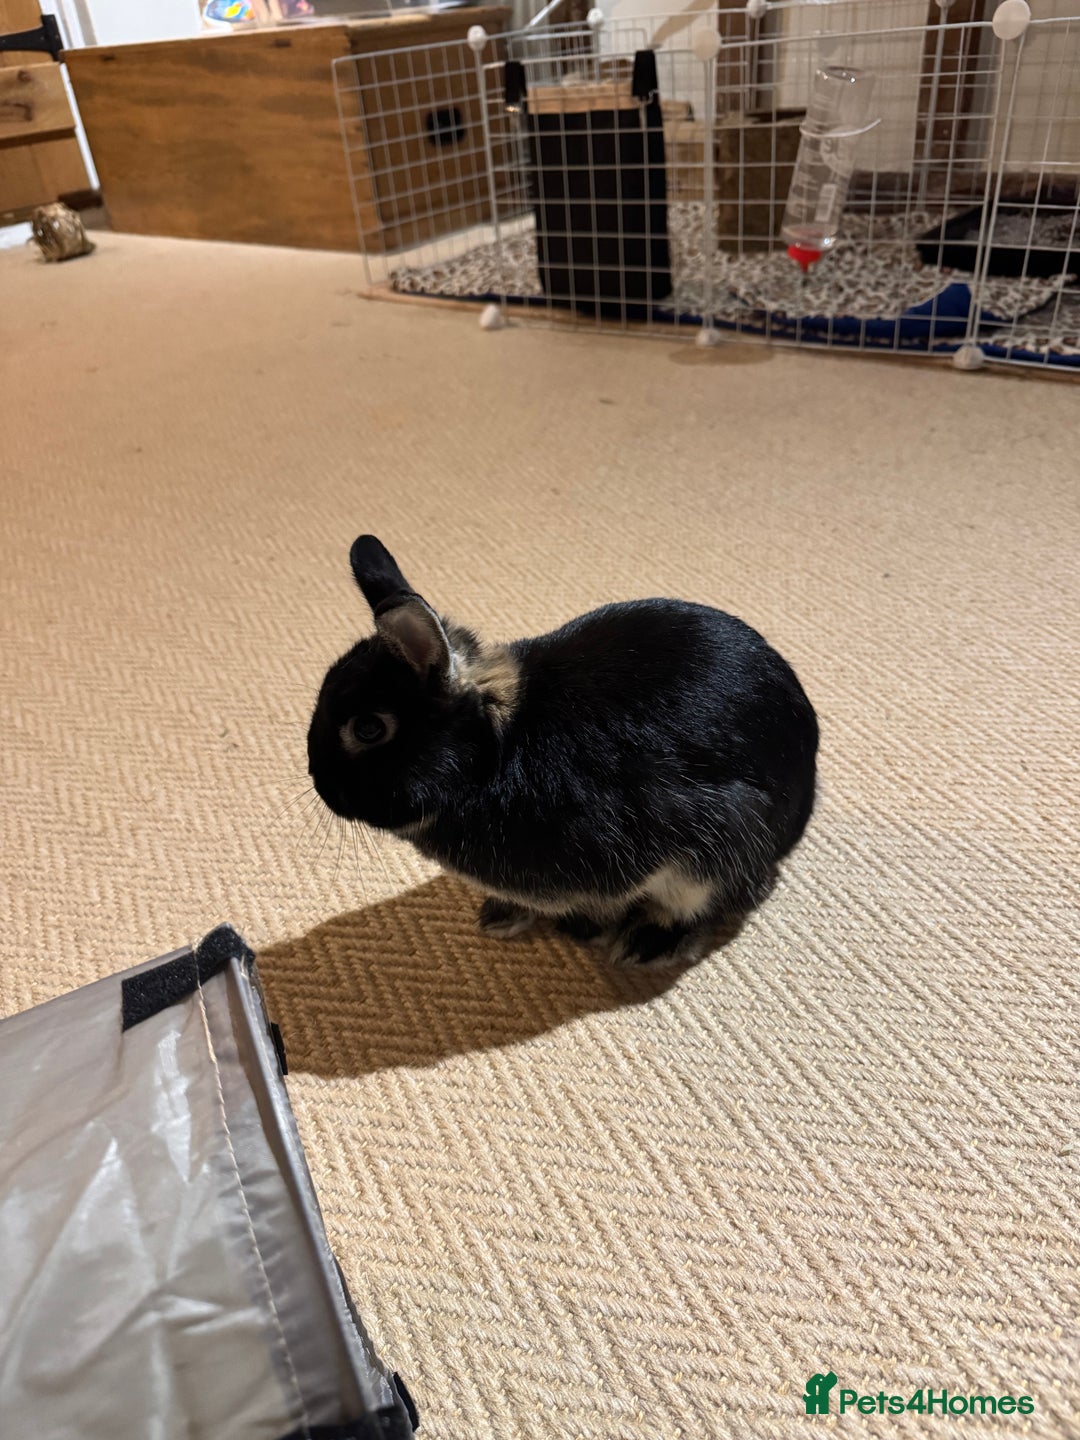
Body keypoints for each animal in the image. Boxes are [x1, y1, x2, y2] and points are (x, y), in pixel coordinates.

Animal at [307, 536, 818, 967]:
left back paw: (646, 943)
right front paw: (503, 917)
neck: (494, 757)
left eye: (368, 728)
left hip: (731, 838)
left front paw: (593, 931)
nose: (320, 784)